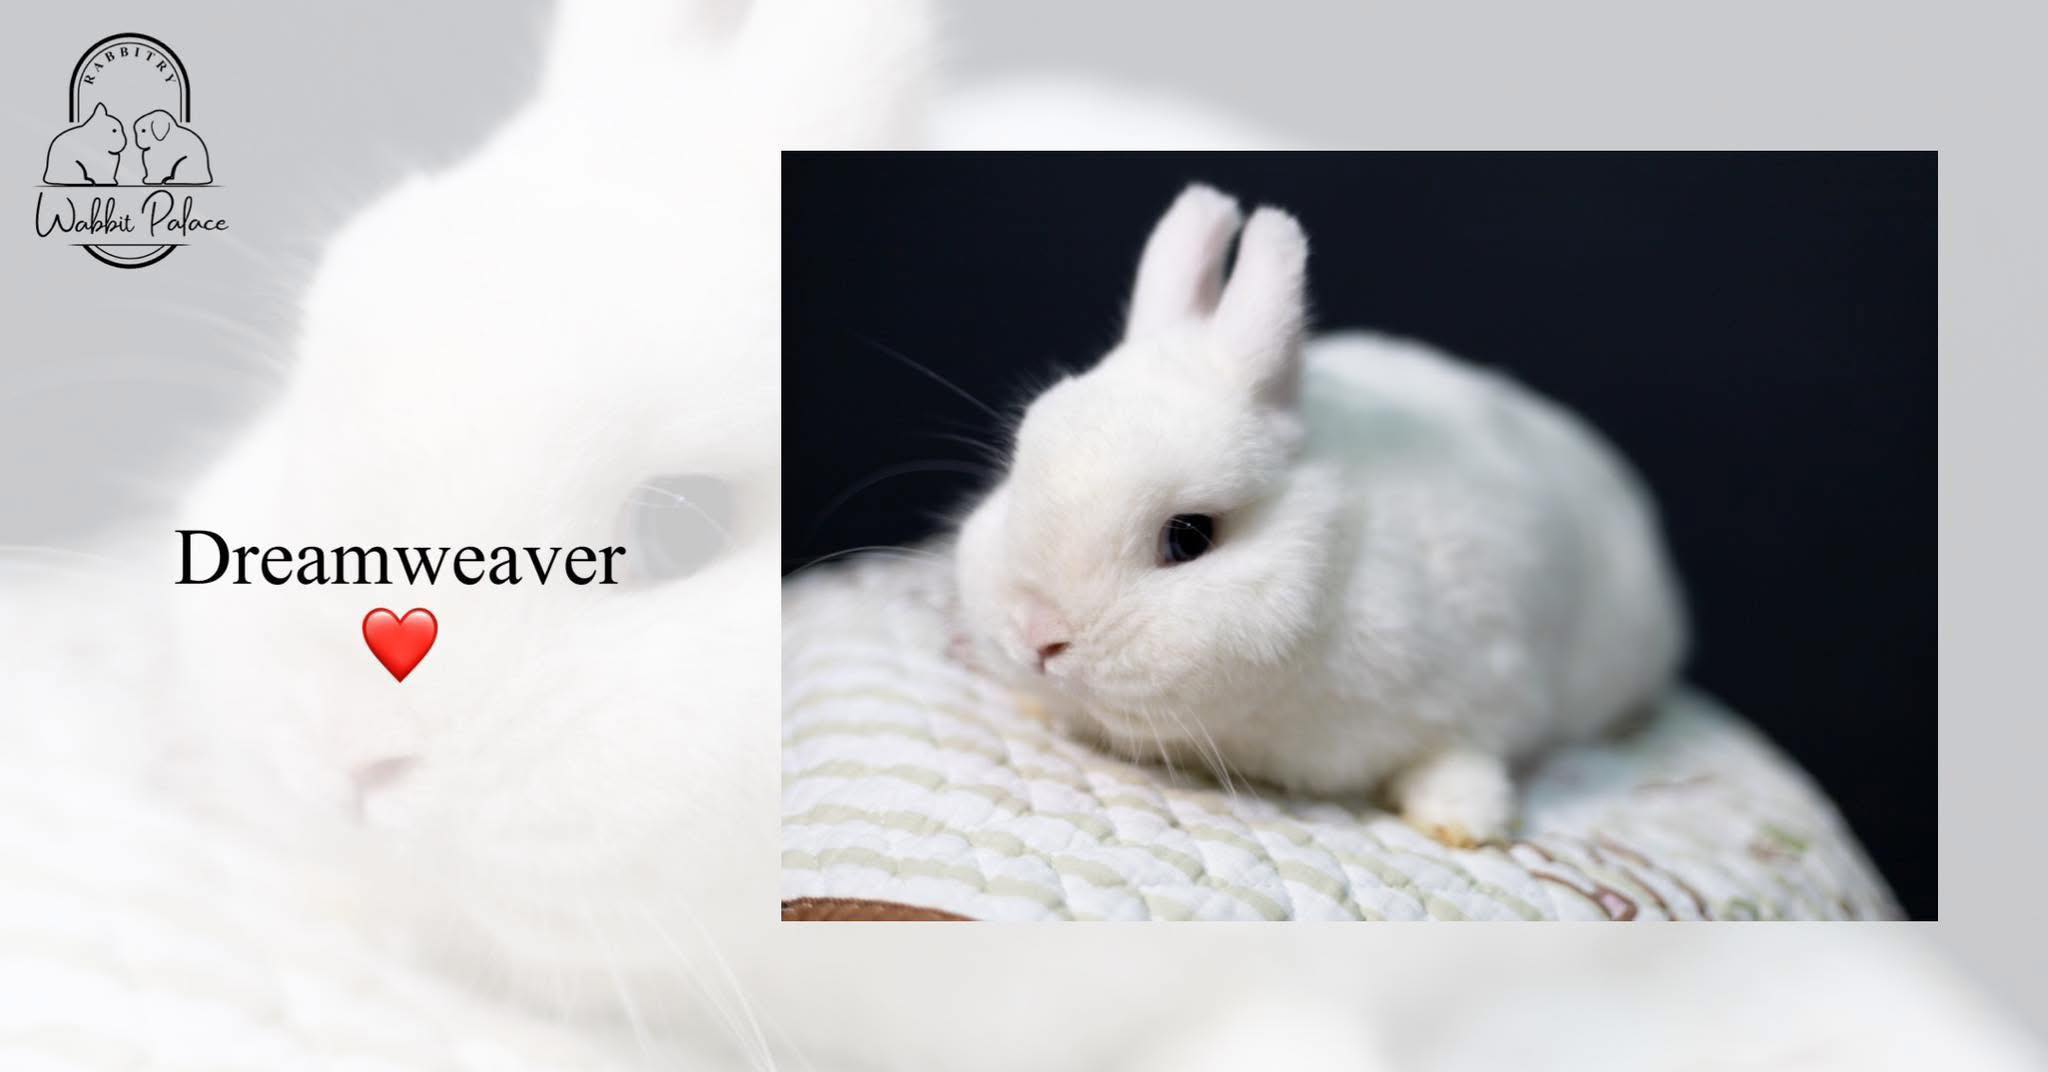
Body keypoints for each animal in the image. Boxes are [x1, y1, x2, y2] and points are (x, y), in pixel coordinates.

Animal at [954, 183, 1688, 846]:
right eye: (1019, 464)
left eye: (1189, 537)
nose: (1038, 636)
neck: (1337, 561)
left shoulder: (1492, 686)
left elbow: (1461, 758)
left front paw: (1463, 824)